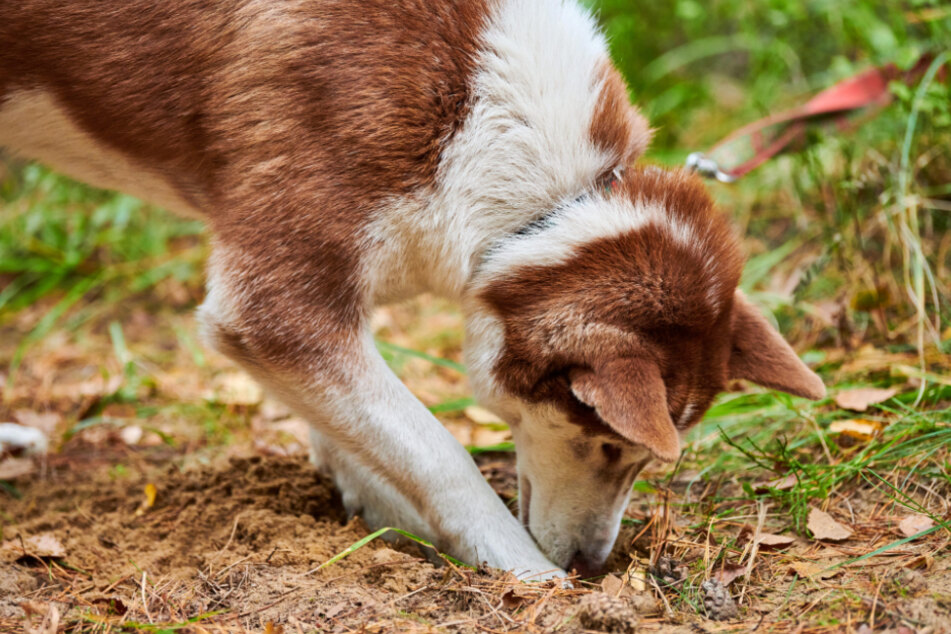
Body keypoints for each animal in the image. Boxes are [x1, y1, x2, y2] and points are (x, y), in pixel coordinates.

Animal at [0, 0, 824, 576]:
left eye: (638, 458)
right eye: (603, 440)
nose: (592, 566)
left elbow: (360, 434)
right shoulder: (273, 307)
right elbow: (437, 455)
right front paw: (526, 576)